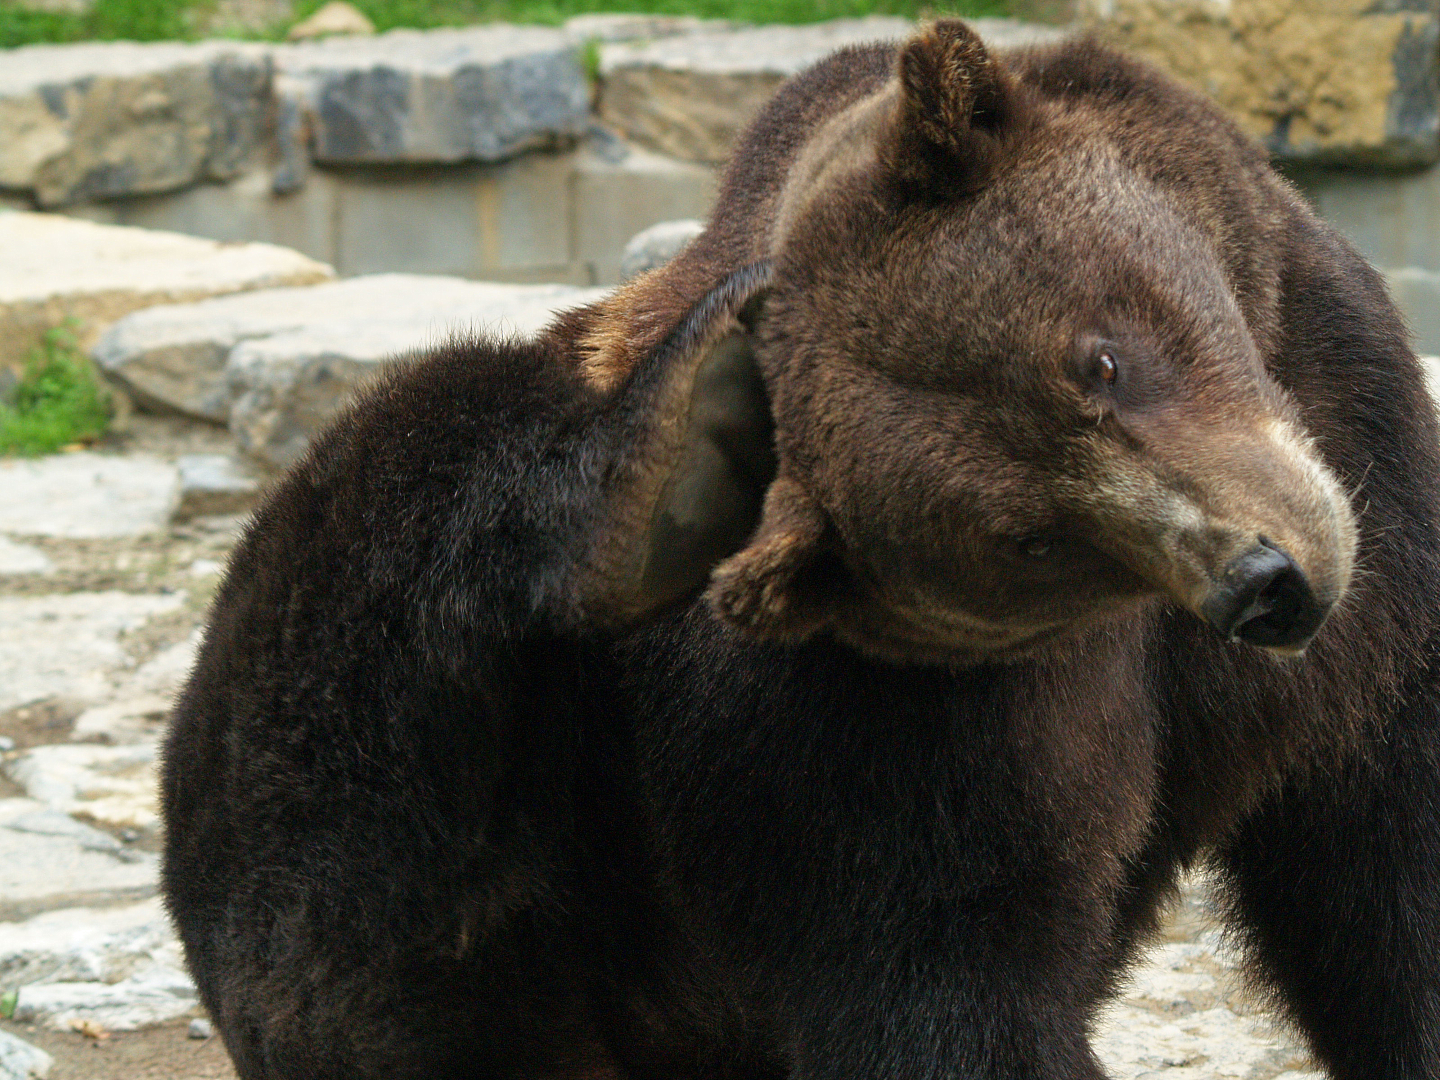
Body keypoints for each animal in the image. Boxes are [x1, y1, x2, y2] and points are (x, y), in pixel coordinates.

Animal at [160, 19, 1440, 1080]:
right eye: (1028, 539)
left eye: (1101, 357)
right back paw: (667, 456)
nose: (1267, 581)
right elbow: (940, 964)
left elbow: (1380, 863)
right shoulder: (873, 720)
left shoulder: (1372, 482)